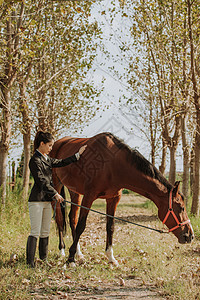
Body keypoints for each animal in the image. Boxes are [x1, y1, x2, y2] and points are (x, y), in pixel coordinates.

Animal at [50, 132, 194, 266]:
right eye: (181, 208)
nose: (190, 235)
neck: (112, 164)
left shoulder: (113, 199)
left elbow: (110, 227)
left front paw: (110, 257)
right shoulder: (89, 196)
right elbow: (82, 225)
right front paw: (70, 259)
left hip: (75, 192)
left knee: (72, 218)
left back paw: (79, 253)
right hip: (56, 186)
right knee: (60, 218)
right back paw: (62, 251)